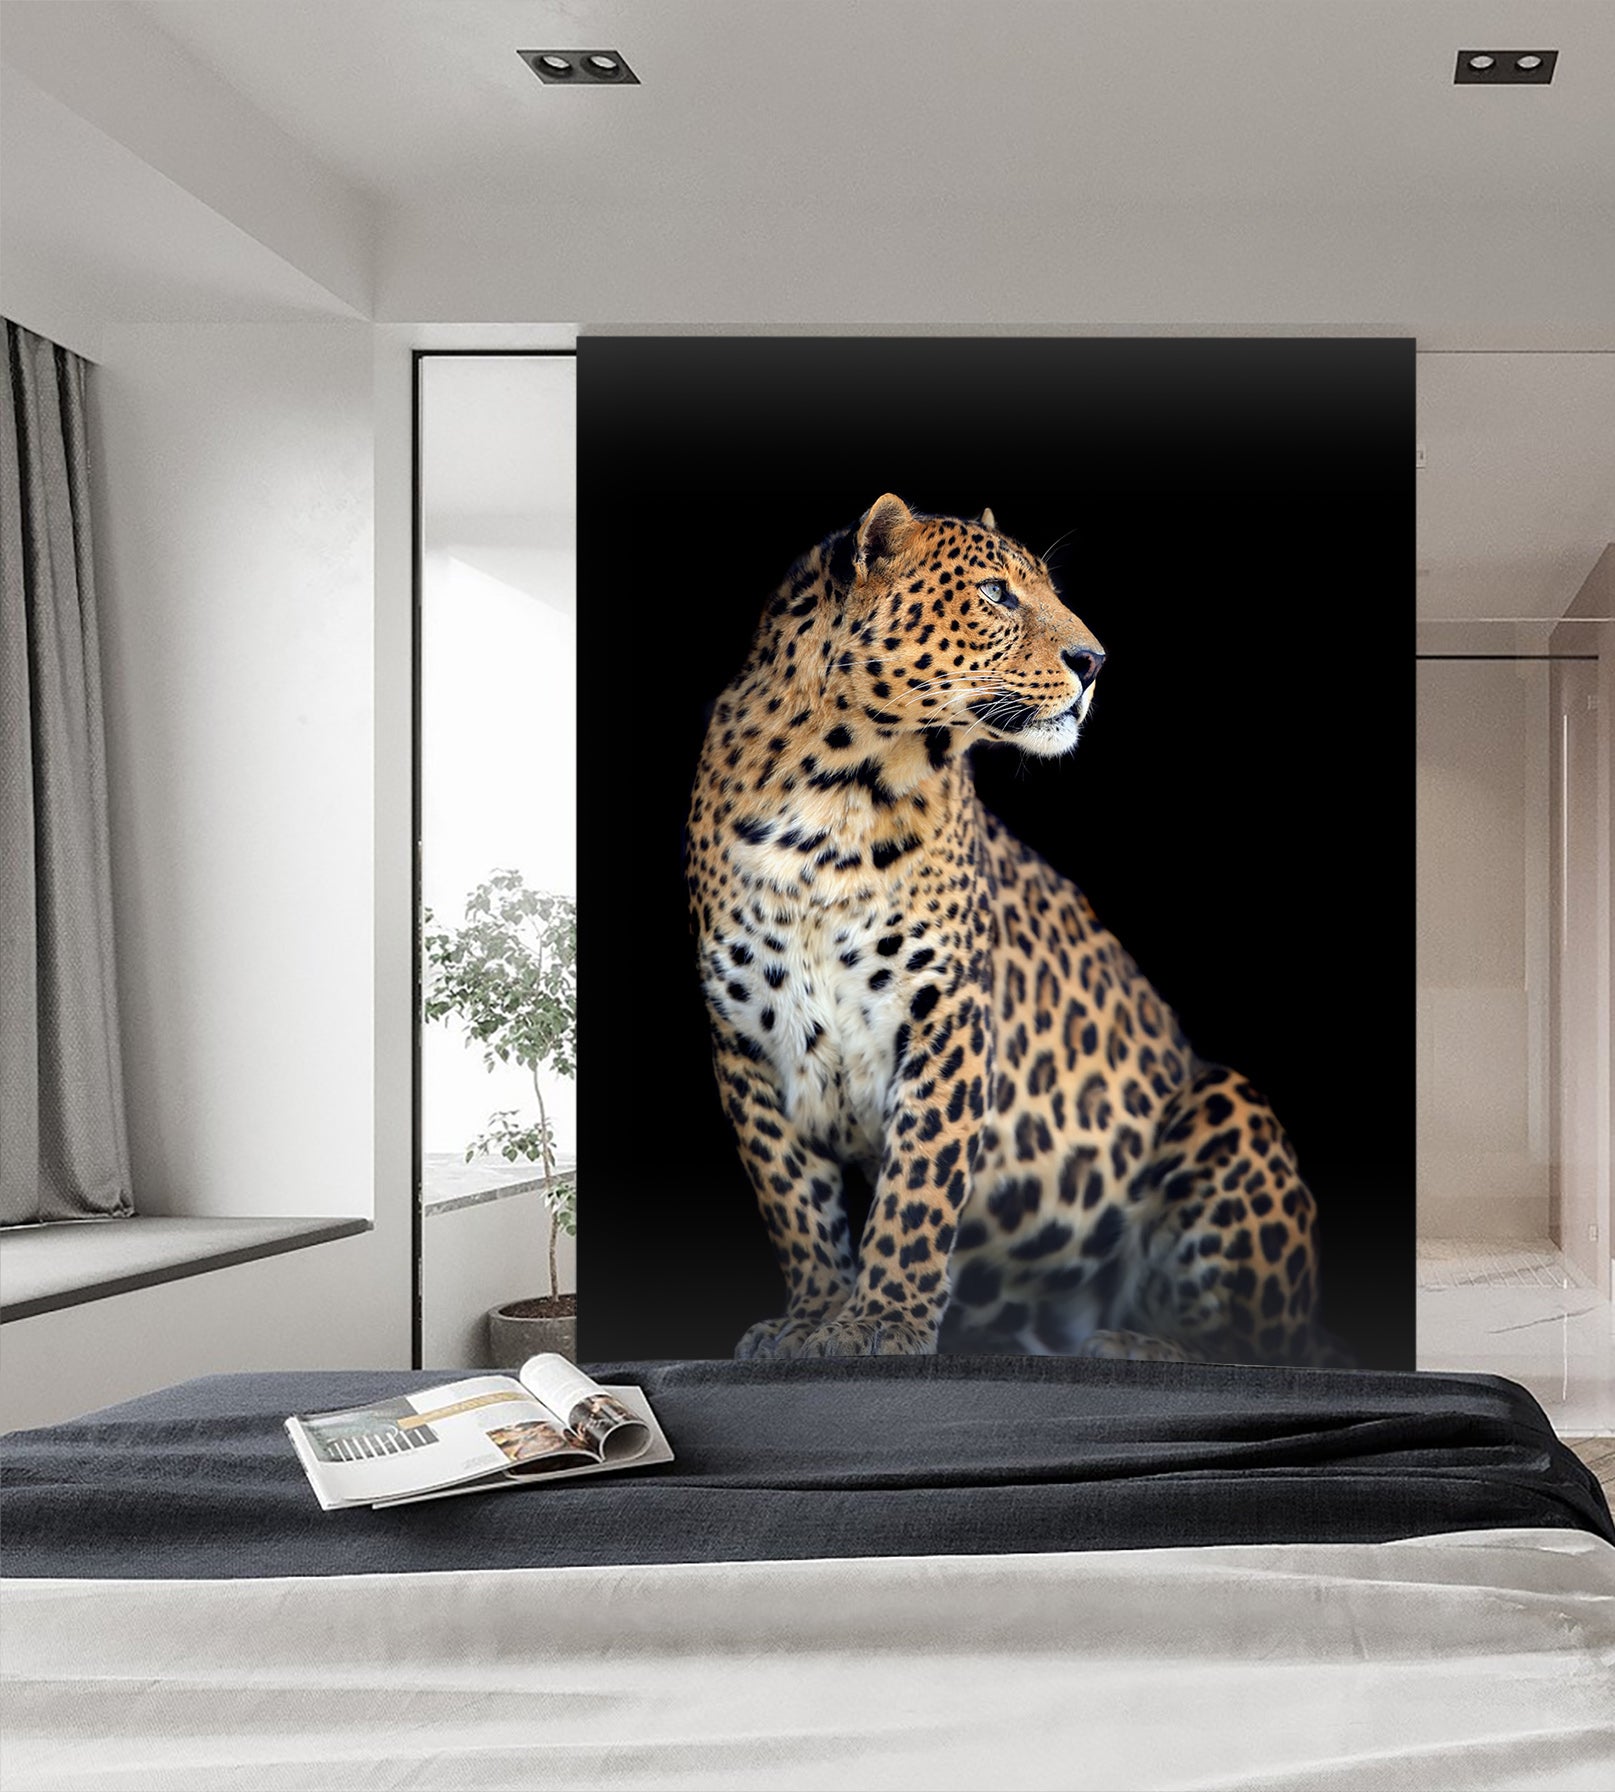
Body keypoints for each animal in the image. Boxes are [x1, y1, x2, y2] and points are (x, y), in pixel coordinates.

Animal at [684, 493, 1348, 1366]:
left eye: (1046, 590)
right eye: (996, 594)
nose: (1094, 661)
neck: (832, 793)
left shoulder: (946, 1013)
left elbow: (916, 1189)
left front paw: (880, 1324)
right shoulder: (745, 1039)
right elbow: (792, 1198)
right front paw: (812, 1318)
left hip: (1226, 1104)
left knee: (1264, 1347)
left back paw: (1133, 1346)